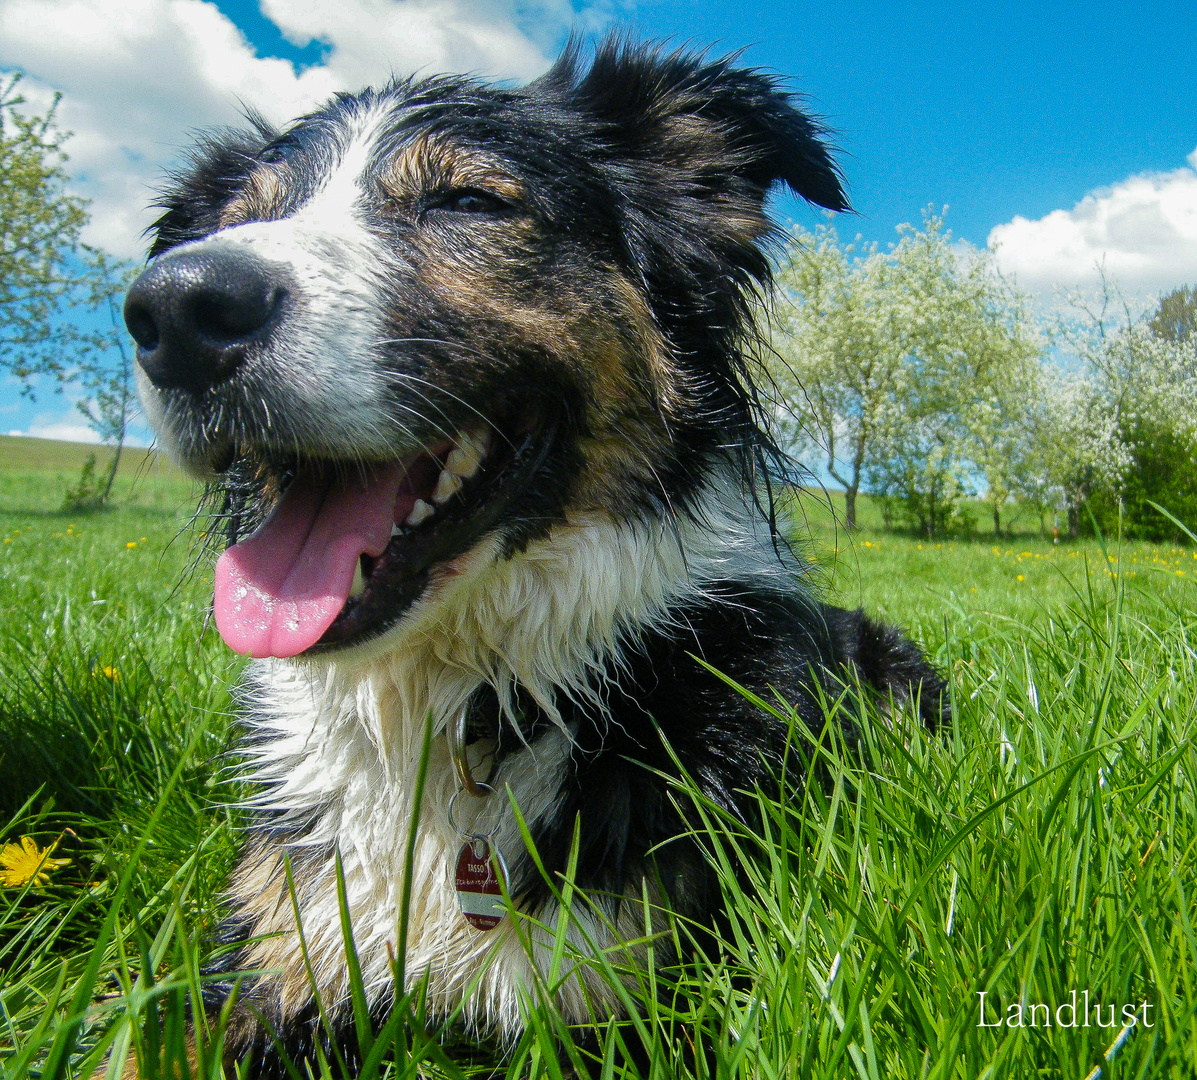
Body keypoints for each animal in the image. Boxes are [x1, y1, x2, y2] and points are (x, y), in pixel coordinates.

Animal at [121, 38, 943, 1077]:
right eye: (243, 220)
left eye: (469, 202)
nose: (177, 308)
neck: (460, 695)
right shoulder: (280, 945)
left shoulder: (644, 991)